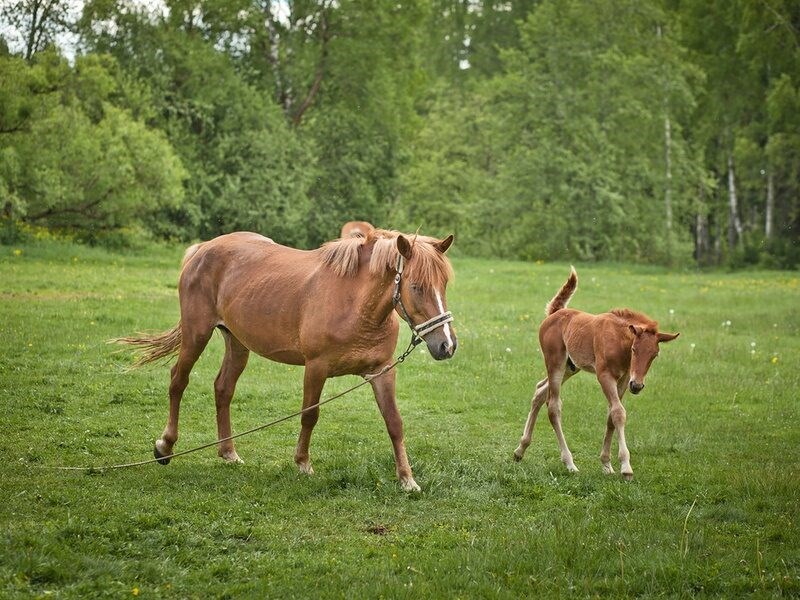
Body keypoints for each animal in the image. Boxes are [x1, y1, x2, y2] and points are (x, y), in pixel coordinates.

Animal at [118, 230, 456, 492]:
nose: (447, 345)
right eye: (416, 287)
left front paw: (407, 480)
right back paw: (165, 446)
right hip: (196, 334)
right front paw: (302, 463)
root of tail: (202, 248)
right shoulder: (316, 368)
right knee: (178, 380)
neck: (354, 303)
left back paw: (228, 452)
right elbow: (310, 415)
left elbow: (394, 423)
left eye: (443, 285)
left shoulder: (382, 372)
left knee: (223, 388)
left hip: (237, 343)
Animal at [516, 268, 680, 478]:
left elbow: (611, 415)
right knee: (553, 407)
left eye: (655, 354)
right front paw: (626, 467)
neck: (618, 341)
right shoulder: (605, 376)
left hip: (571, 367)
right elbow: (618, 412)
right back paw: (569, 463)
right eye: (634, 349)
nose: (637, 386)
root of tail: (555, 313)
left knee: (539, 390)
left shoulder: (623, 379)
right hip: (555, 364)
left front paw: (606, 464)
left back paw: (520, 450)